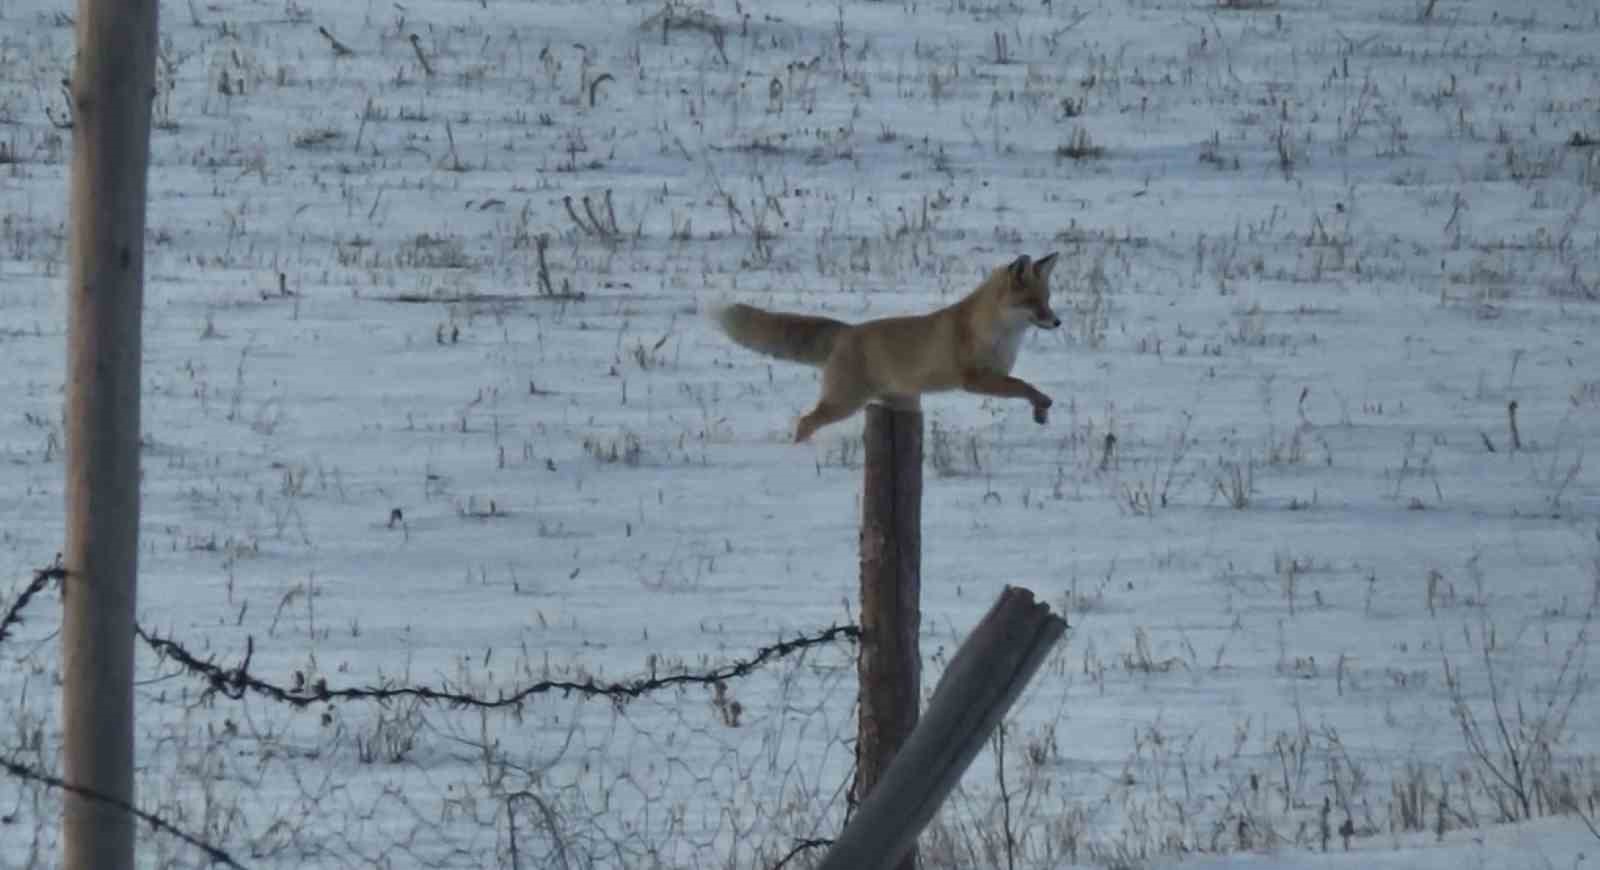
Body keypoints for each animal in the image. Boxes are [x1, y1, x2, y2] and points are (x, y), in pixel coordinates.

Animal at [713, 251, 1062, 441]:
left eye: (1047, 300)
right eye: (1032, 303)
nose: (1058, 322)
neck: (1000, 333)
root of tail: (848, 331)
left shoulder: (992, 376)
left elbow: (1026, 387)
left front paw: (1040, 412)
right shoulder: (975, 379)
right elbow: (1026, 386)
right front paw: (1042, 404)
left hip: (904, 405)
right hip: (844, 403)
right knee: (806, 421)